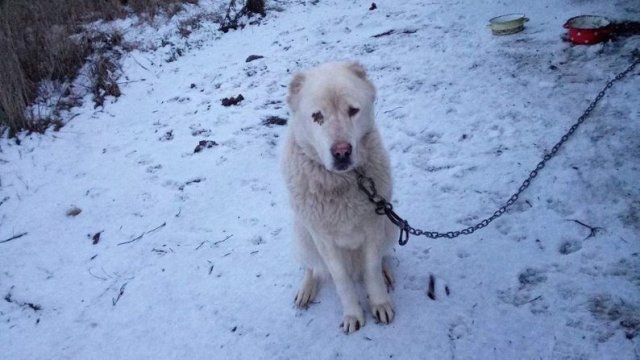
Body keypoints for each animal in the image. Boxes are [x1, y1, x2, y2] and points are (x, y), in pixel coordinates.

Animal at [282, 60, 398, 334]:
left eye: (353, 110)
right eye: (317, 116)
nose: (342, 151)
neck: (343, 182)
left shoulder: (374, 227)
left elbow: (371, 269)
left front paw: (379, 302)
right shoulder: (323, 239)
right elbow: (340, 279)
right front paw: (353, 314)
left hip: (391, 225)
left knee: (380, 258)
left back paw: (386, 271)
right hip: (303, 235)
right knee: (313, 268)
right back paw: (306, 289)